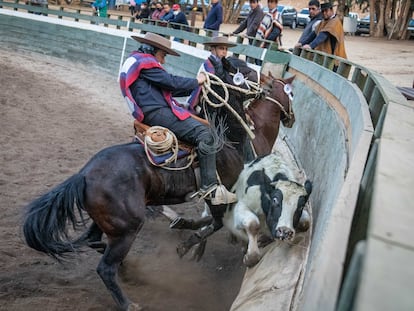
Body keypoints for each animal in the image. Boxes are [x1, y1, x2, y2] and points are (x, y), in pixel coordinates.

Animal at [22, 61, 294, 311]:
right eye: (242, 70)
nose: (267, 85)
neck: (227, 139)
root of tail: (83, 176)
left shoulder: (217, 195)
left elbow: (210, 220)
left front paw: (186, 230)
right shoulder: (224, 191)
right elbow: (216, 222)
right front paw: (188, 243)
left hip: (108, 223)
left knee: (93, 242)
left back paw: (126, 268)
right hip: (128, 228)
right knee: (105, 268)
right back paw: (128, 302)